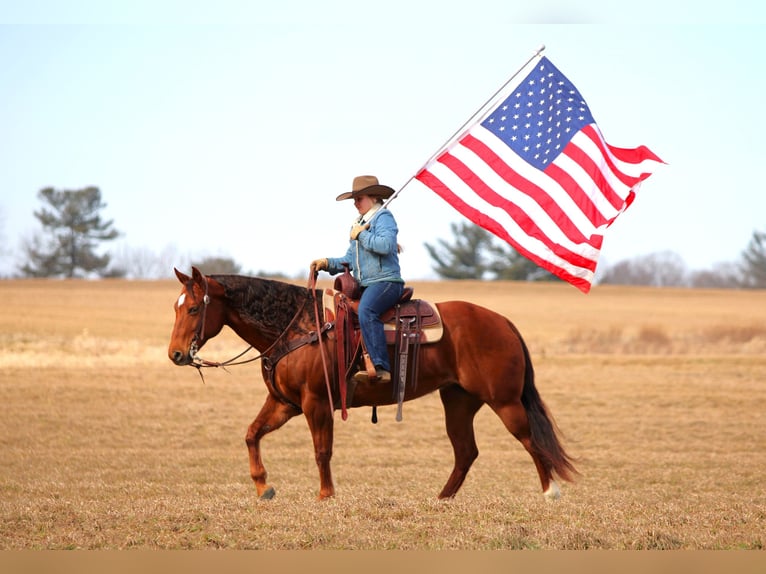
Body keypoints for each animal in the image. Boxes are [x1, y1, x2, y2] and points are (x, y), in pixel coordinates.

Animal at [167, 266, 577, 501]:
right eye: (176, 307)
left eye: (194, 308)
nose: (175, 354)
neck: (298, 327)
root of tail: (502, 322)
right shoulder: (285, 403)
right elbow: (252, 434)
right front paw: (263, 486)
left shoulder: (316, 403)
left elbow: (322, 451)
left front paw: (326, 496)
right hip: (458, 401)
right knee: (466, 452)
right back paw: (441, 500)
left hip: (504, 401)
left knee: (530, 440)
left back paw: (550, 492)